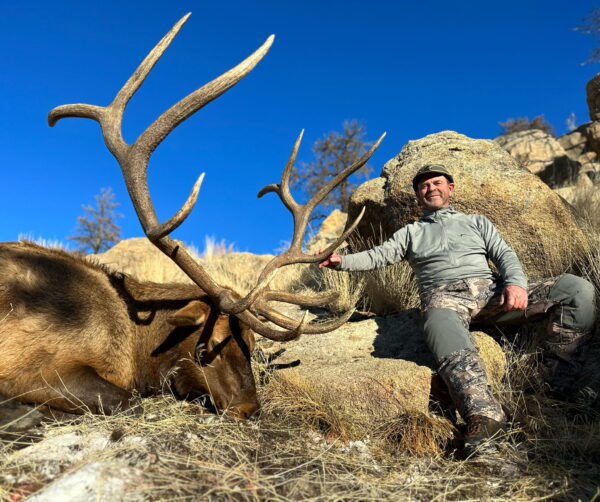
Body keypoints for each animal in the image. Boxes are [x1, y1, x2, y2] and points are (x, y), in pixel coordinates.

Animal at [0, 13, 384, 418]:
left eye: (251, 344)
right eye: (207, 347)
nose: (249, 408)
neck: (133, 342)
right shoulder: (34, 363)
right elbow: (126, 398)